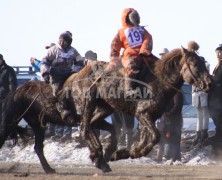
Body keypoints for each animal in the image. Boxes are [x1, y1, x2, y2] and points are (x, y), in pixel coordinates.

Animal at [0, 47, 212, 173]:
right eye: (195, 64)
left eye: (204, 62)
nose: (209, 83)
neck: (157, 80)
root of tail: (17, 91)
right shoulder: (143, 114)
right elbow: (154, 137)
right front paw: (118, 154)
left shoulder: (147, 117)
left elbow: (147, 139)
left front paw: (119, 153)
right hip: (18, 119)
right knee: (84, 129)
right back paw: (97, 158)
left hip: (45, 123)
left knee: (42, 145)